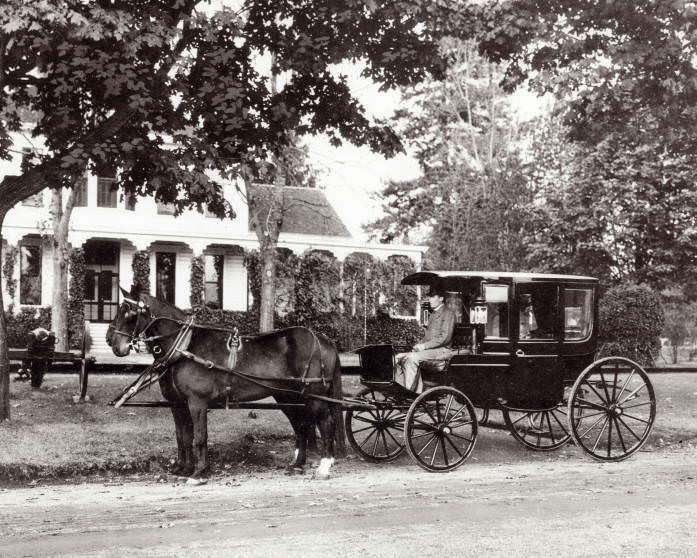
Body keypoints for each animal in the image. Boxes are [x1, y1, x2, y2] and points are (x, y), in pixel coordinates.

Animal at [106, 288, 346, 486]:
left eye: (129, 313)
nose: (110, 341)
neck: (185, 346)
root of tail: (323, 339)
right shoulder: (178, 404)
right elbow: (183, 436)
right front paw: (183, 469)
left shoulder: (197, 402)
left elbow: (199, 436)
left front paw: (199, 473)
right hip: (289, 397)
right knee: (302, 425)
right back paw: (297, 464)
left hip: (313, 396)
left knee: (326, 423)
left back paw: (324, 466)